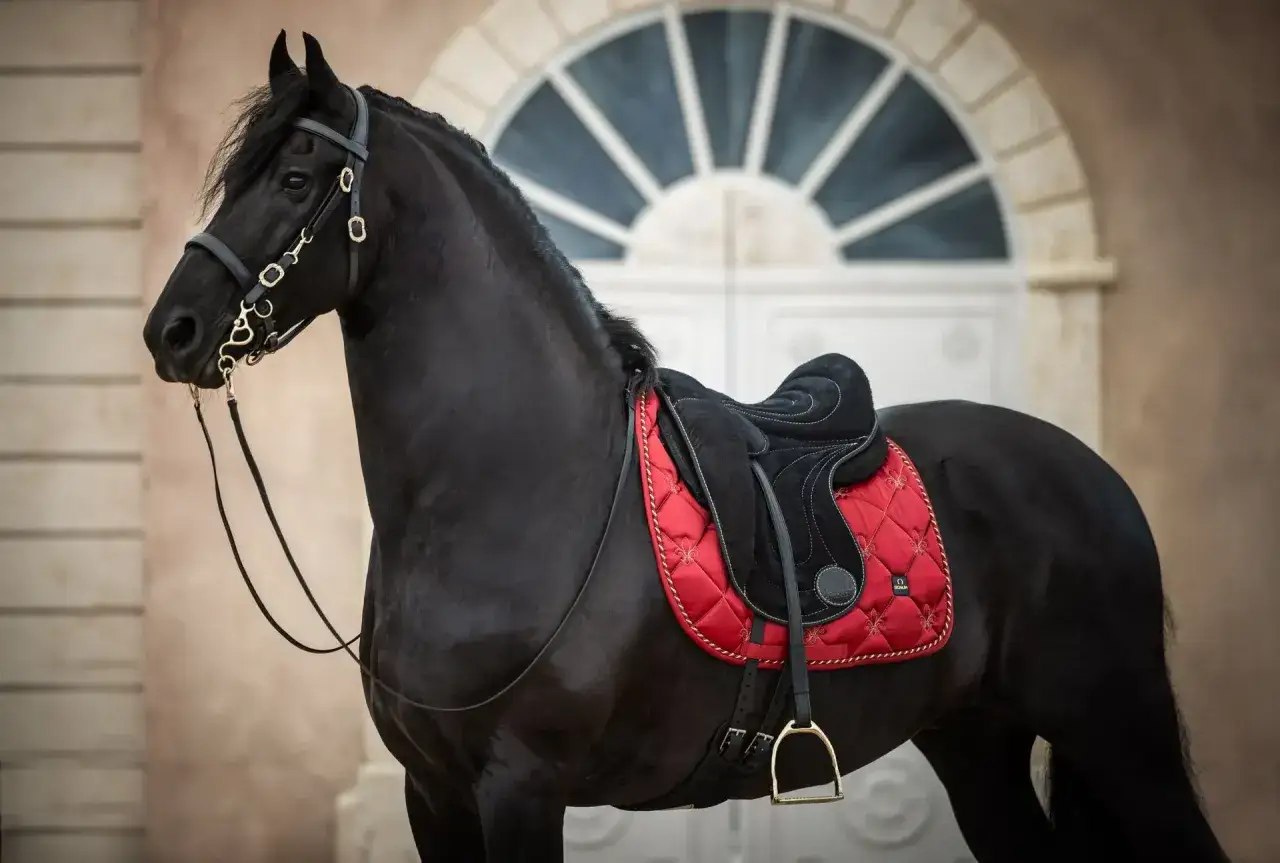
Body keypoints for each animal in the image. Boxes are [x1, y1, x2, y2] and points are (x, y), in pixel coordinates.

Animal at [140, 30, 1229, 863]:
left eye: (292, 178)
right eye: (231, 178)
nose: (173, 330)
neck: (515, 489)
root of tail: (1089, 472)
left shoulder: (521, 783)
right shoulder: (431, 790)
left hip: (1117, 732)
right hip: (976, 738)